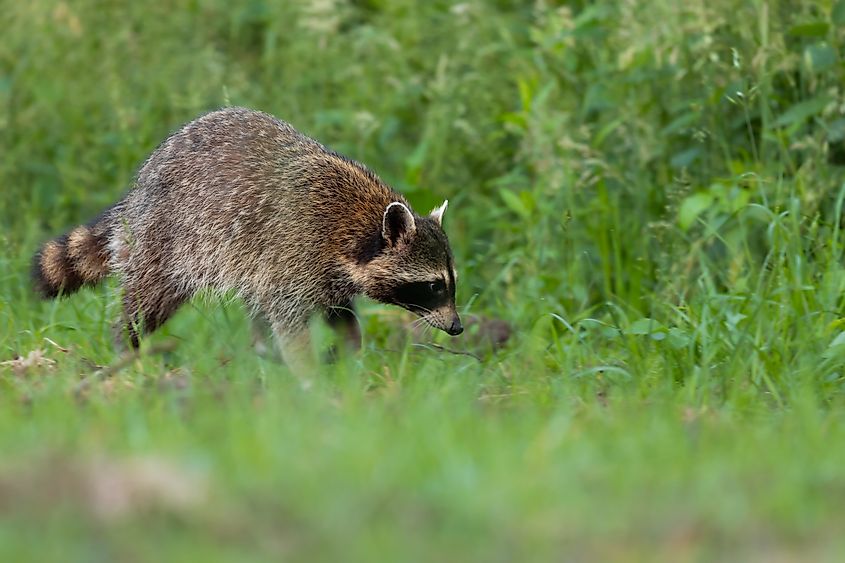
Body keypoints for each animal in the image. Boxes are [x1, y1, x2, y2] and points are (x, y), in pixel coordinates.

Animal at [34, 107, 462, 366]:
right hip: (167, 238)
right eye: (434, 286)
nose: (458, 327)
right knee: (149, 298)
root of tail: (140, 187)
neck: (358, 226)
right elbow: (289, 321)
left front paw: (350, 355)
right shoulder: (296, 250)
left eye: (451, 283)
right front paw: (309, 374)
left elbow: (339, 313)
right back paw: (129, 349)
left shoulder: (325, 272)